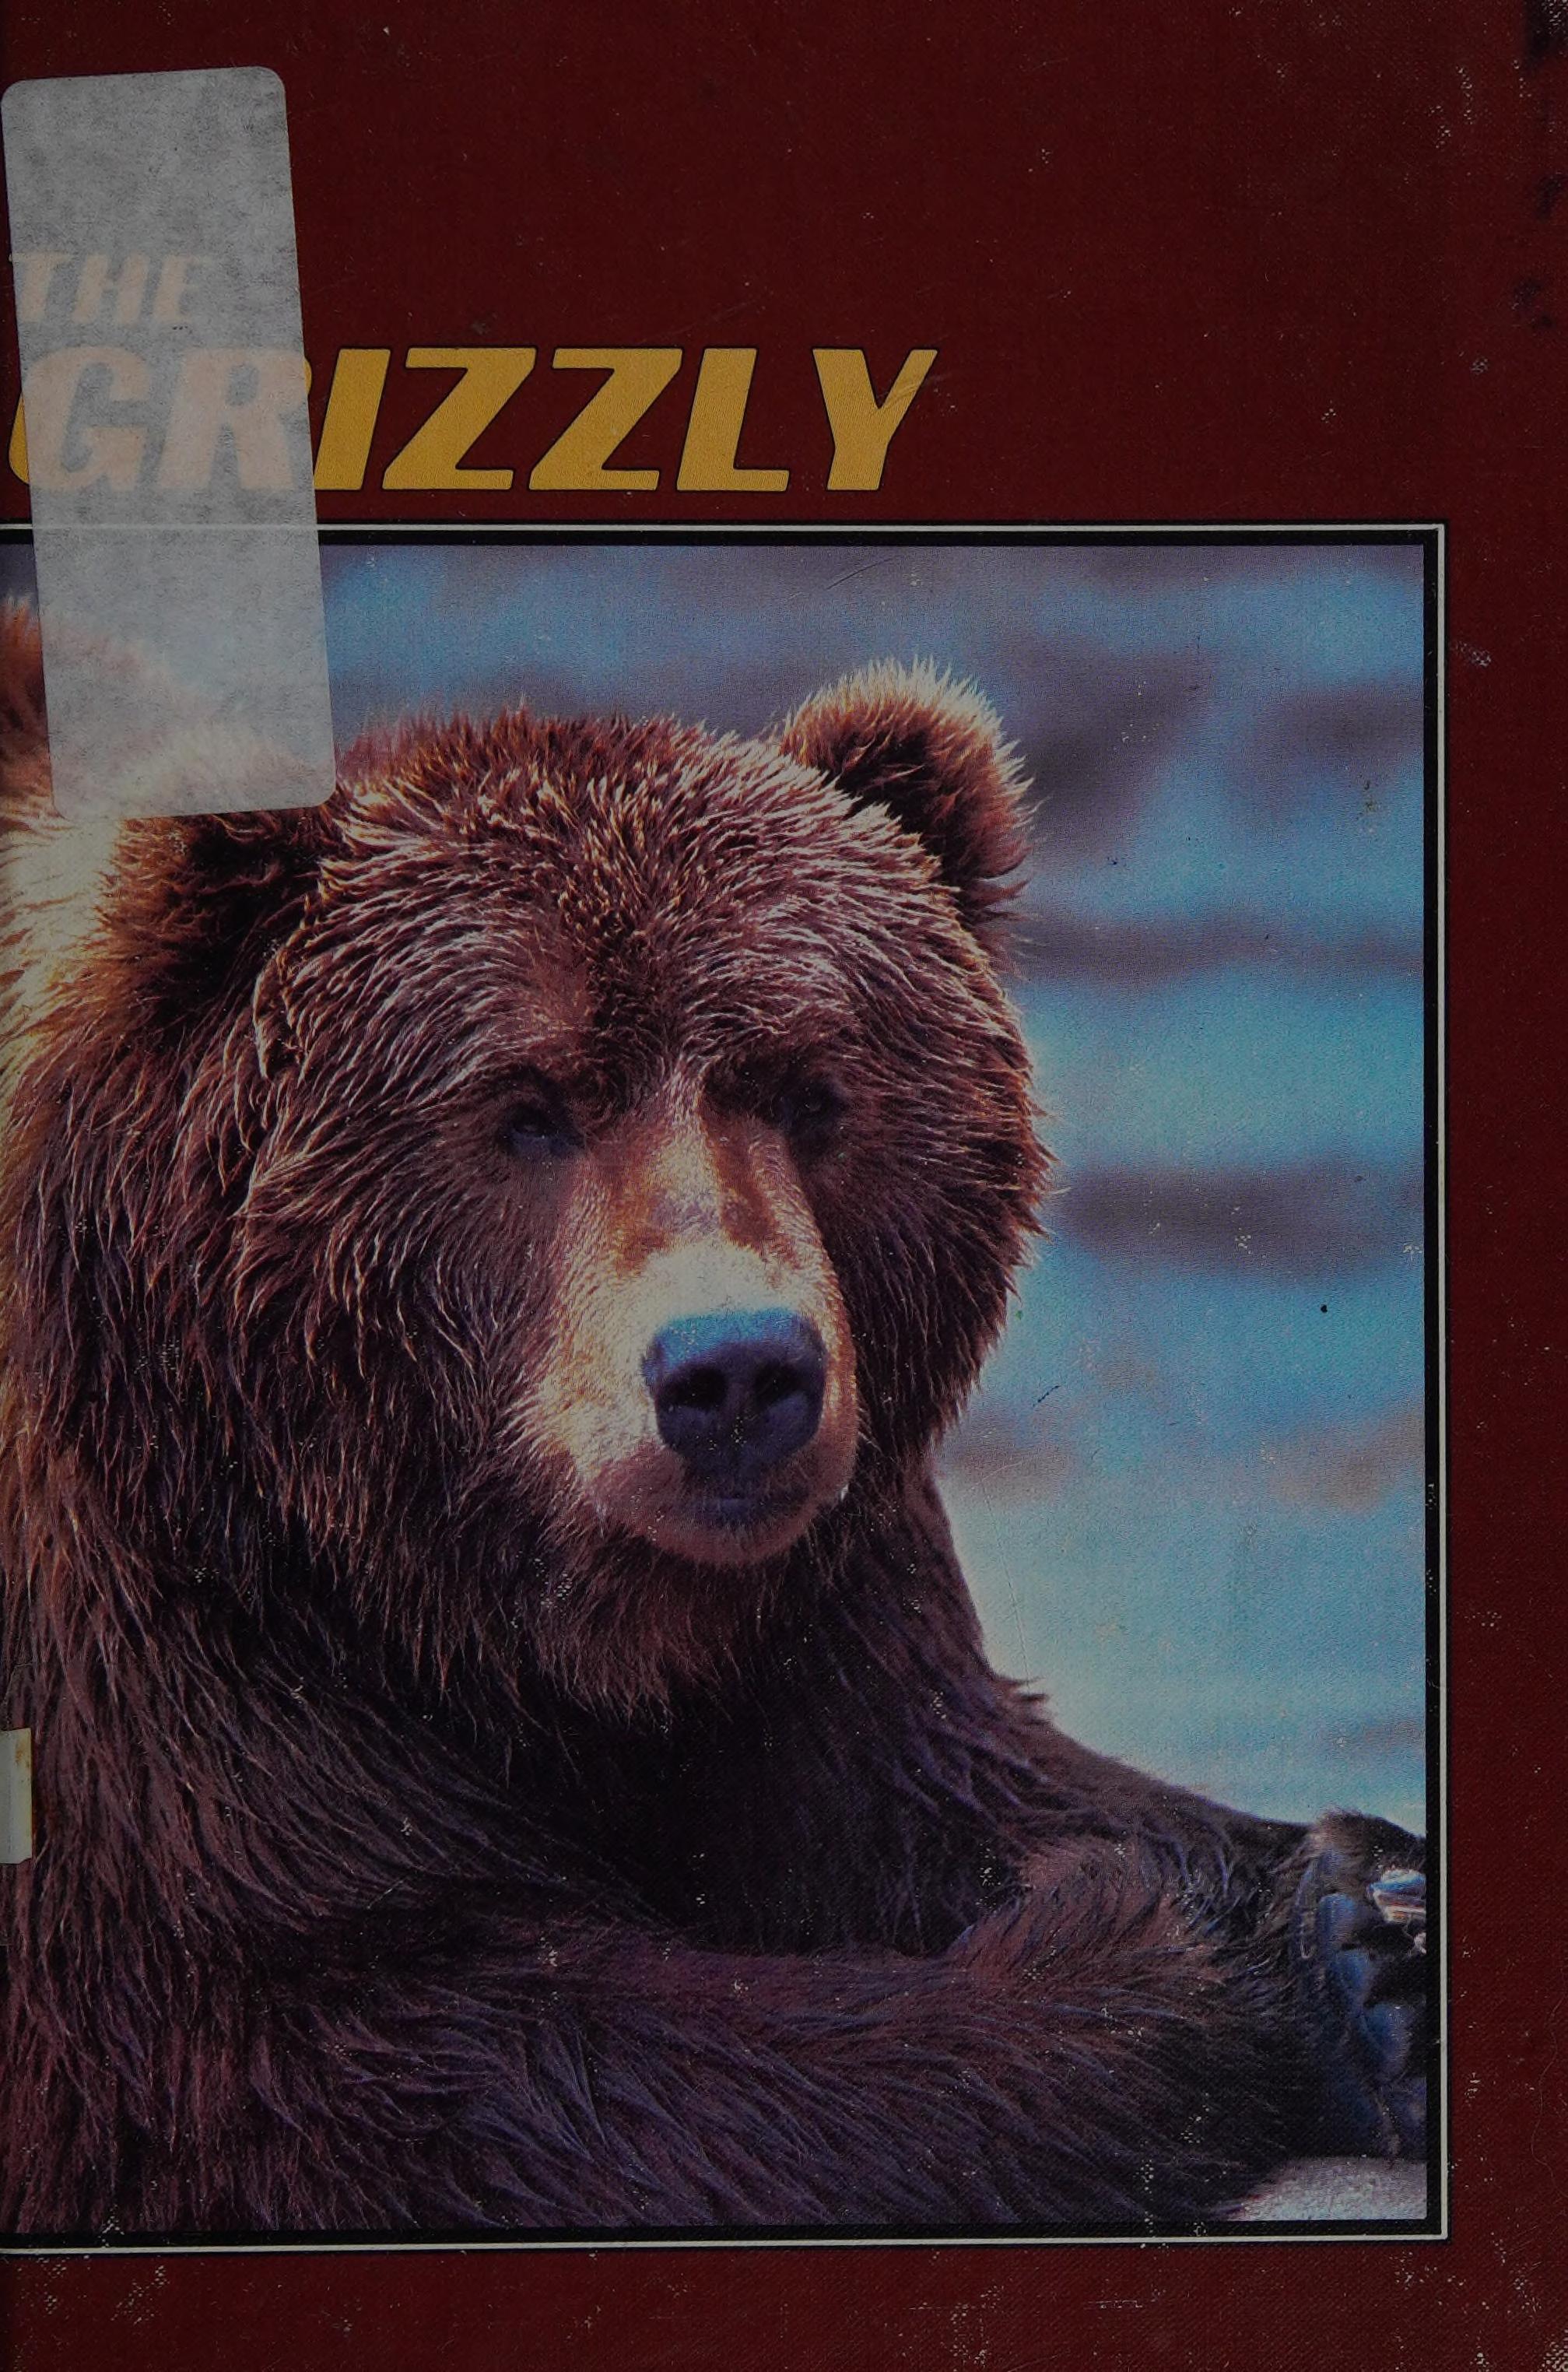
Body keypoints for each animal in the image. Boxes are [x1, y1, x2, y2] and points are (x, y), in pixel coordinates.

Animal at [0, 600, 1428, 2235]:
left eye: (808, 1085)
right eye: (526, 1105)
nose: (735, 1370)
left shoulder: (812, 1596)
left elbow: (934, 1775)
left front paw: (1370, 1918)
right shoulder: (154, 1649)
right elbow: (377, 2050)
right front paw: (1189, 1957)